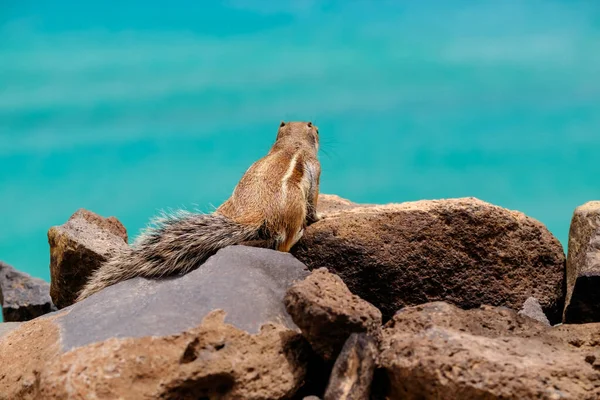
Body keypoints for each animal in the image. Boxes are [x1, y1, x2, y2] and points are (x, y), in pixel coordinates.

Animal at [77, 120, 322, 302]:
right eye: (315, 128)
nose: (318, 129)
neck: (291, 142)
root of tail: (253, 215)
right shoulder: (316, 175)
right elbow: (313, 203)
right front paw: (322, 216)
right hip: (293, 208)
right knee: (284, 245)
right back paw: (298, 234)